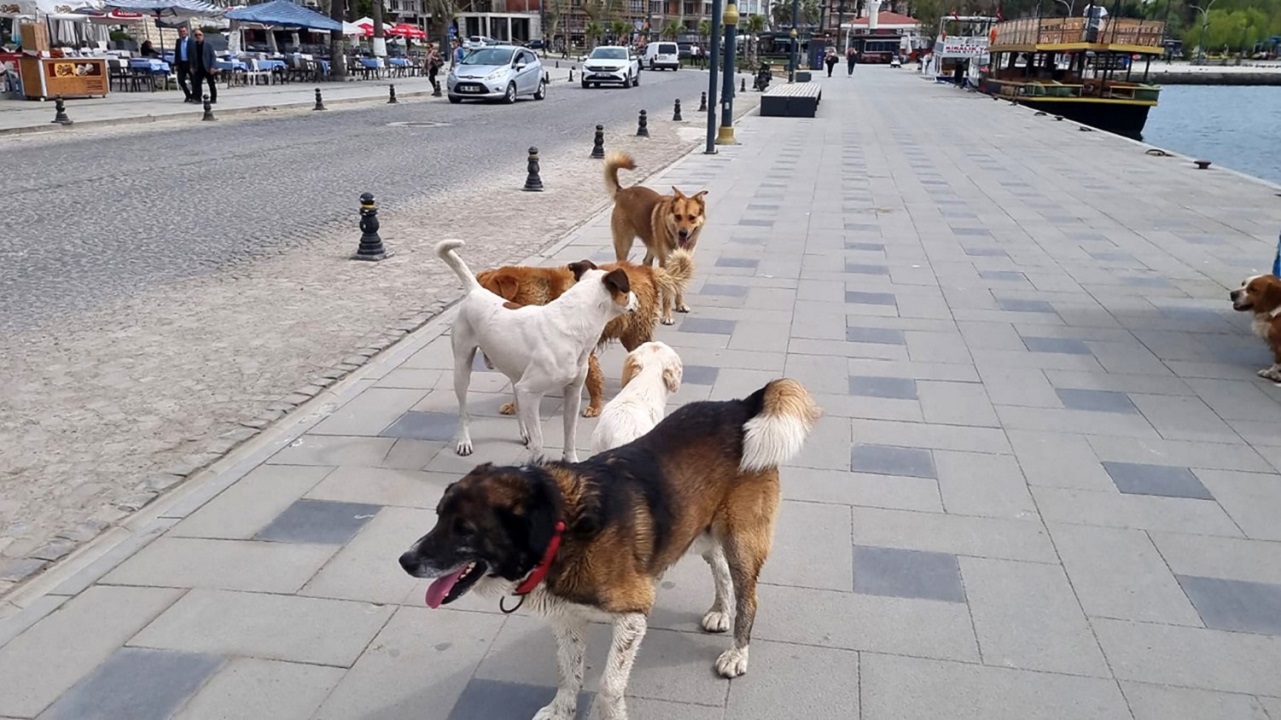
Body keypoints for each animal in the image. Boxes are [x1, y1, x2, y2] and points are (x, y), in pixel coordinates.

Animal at [397, 376, 819, 717]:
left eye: (465, 530)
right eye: (437, 516)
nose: (405, 561)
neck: (561, 527)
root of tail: (741, 407)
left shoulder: (633, 614)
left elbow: (608, 686)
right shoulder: (567, 617)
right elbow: (568, 674)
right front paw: (562, 712)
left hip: (741, 538)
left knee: (749, 596)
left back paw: (737, 651)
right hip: (700, 526)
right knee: (718, 567)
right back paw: (720, 611)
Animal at [438, 238, 637, 461]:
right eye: (627, 291)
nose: (636, 297)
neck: (573, 322)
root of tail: (475, 291)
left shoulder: (572, 391)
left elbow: (570, 434)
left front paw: (570, 460)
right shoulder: (530, 391)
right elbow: (539, 440)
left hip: (514, 370)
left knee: (517, 401)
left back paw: (523, 433)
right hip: (462, 367)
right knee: (463, 410)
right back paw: (464, 441)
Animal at [476, 252, 691, 417]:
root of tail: (646, 270)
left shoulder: (585, 355)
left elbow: (592, 380)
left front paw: (595, 406)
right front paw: (515, 406)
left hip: (635, 335)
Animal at [602, 150, 707, 316]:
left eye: (692, 217)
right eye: (678, 216)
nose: (683, 233)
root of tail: (622, 191)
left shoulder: (683, 261)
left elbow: (679, 285)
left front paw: (680, 305)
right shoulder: (665, 264)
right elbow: (668, 293)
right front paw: (667, 315)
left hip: (651, 244)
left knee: (646, 262)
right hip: (624, 244)